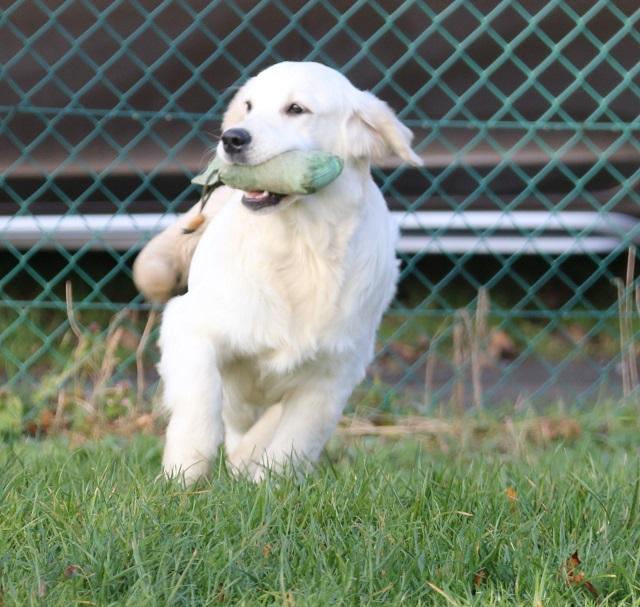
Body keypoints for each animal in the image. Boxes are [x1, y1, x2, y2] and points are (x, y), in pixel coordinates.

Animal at [158, 60, 422, 480]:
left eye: (296, 109)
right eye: (248, 106)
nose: (232, 138)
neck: (301, 245)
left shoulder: (334, 373)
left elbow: (293, 442)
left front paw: (267, 483)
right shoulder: (189, 324)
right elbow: (201, 403)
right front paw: (183, 476)